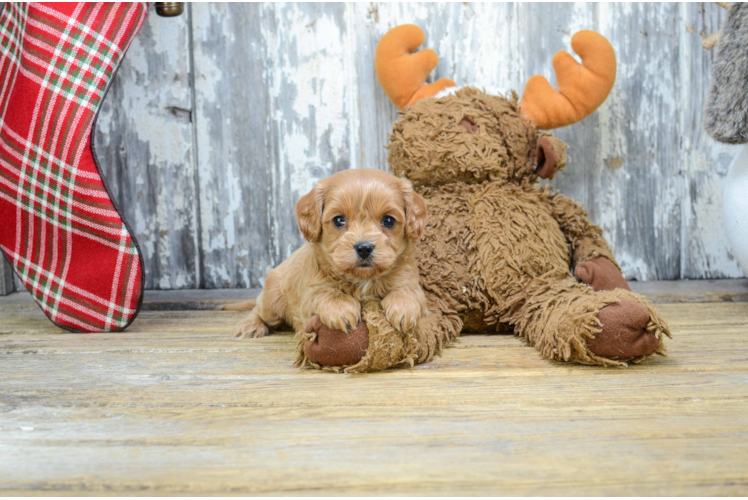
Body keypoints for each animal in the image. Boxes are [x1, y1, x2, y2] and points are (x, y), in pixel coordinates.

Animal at [229, 168, 426, 340]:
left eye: (388, 220)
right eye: (339, 220)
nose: (364, 248)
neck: (362, 279)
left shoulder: (409, 280)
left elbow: (409, 291)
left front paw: (403, 307)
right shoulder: (310, 292)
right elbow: (326, 293)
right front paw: (342, 309)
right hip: (272, 300)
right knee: (258, 310)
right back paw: (251, 325)